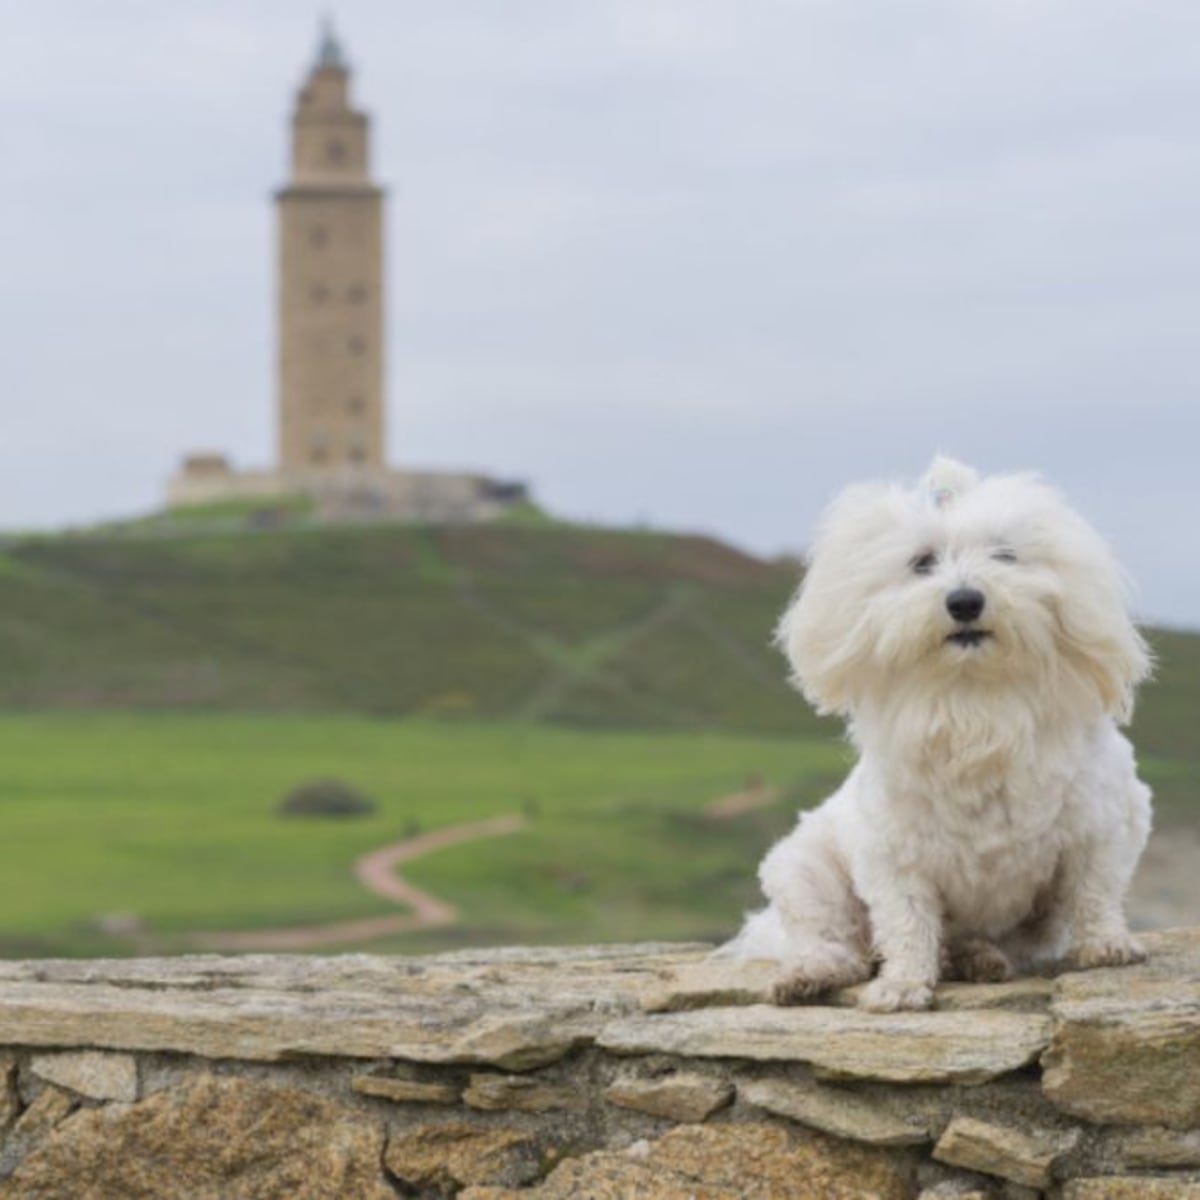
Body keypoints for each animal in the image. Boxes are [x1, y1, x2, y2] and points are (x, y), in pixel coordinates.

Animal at [720, 458, 1152, 1012]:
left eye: (1004, 554)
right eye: (922, 562)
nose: (965, 601)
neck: (973, 701)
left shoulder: (1100, 827)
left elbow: (1093, 893)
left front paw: (1105, 945)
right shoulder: (894, 856)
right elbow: (906, 923)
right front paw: (903, 984)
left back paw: (975, 958)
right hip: (804, 872)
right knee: (840, 944)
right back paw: (810, 975)